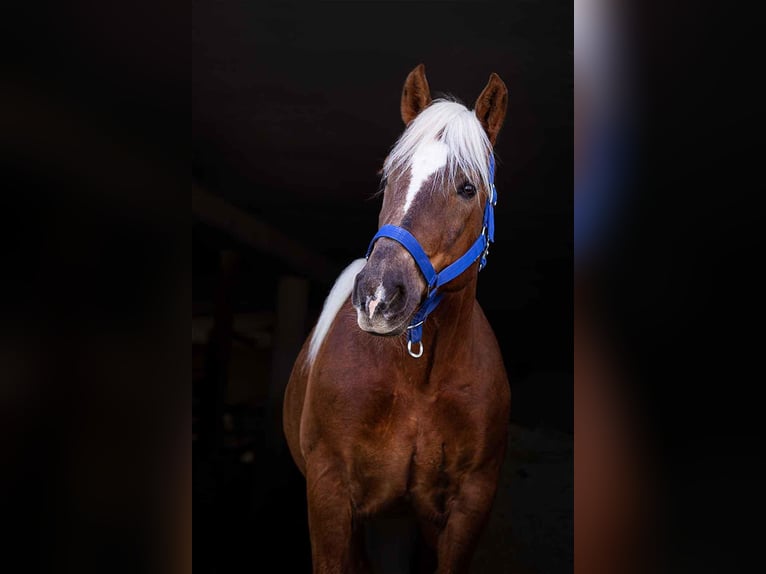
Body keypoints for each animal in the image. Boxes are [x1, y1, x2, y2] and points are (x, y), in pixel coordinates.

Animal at [283, 64, 511, 574]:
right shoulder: (328, 491)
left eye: (467, 188)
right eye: (389, 177)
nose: (377, 296)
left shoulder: (472, 502)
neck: (418, 381)